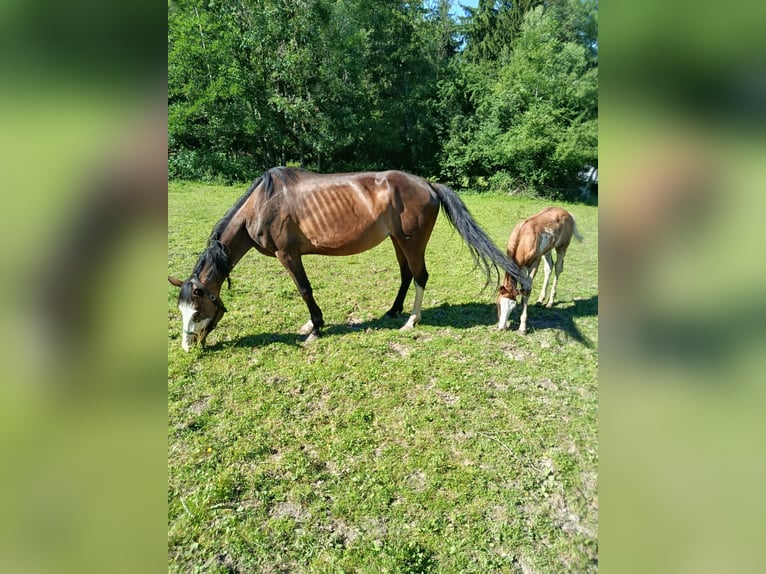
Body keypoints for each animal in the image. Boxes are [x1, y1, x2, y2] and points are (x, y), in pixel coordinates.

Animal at [169, 167, 529, 351]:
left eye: (197, 310)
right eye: (181, 311)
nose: (188, 348)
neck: (262, 203)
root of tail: (427, 183)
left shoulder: (288, 255)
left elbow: (305, 290)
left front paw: (315, 327)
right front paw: (310, 324)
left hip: (412, 242)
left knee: (420, 276)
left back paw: (411, 320)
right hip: (397, 241)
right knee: (406, 275)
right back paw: (393, 311)